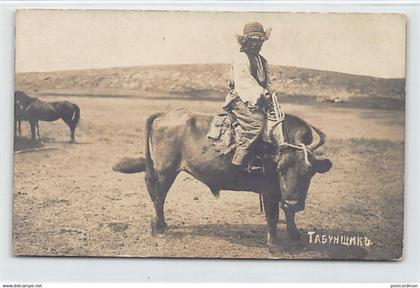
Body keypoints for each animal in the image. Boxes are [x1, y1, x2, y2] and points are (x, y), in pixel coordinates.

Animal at [115, 109, 332, 248]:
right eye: (280, 168)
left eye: (309, 171)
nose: (295, 202)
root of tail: (164, 114)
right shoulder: (269, 191)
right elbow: (273, 216)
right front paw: (274, 245)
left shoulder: (282, 193)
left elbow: (288, 213)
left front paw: (295, 236)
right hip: (165, 172)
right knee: (158, 195)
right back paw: (158, 227)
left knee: (157, 196)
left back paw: (162, 224)